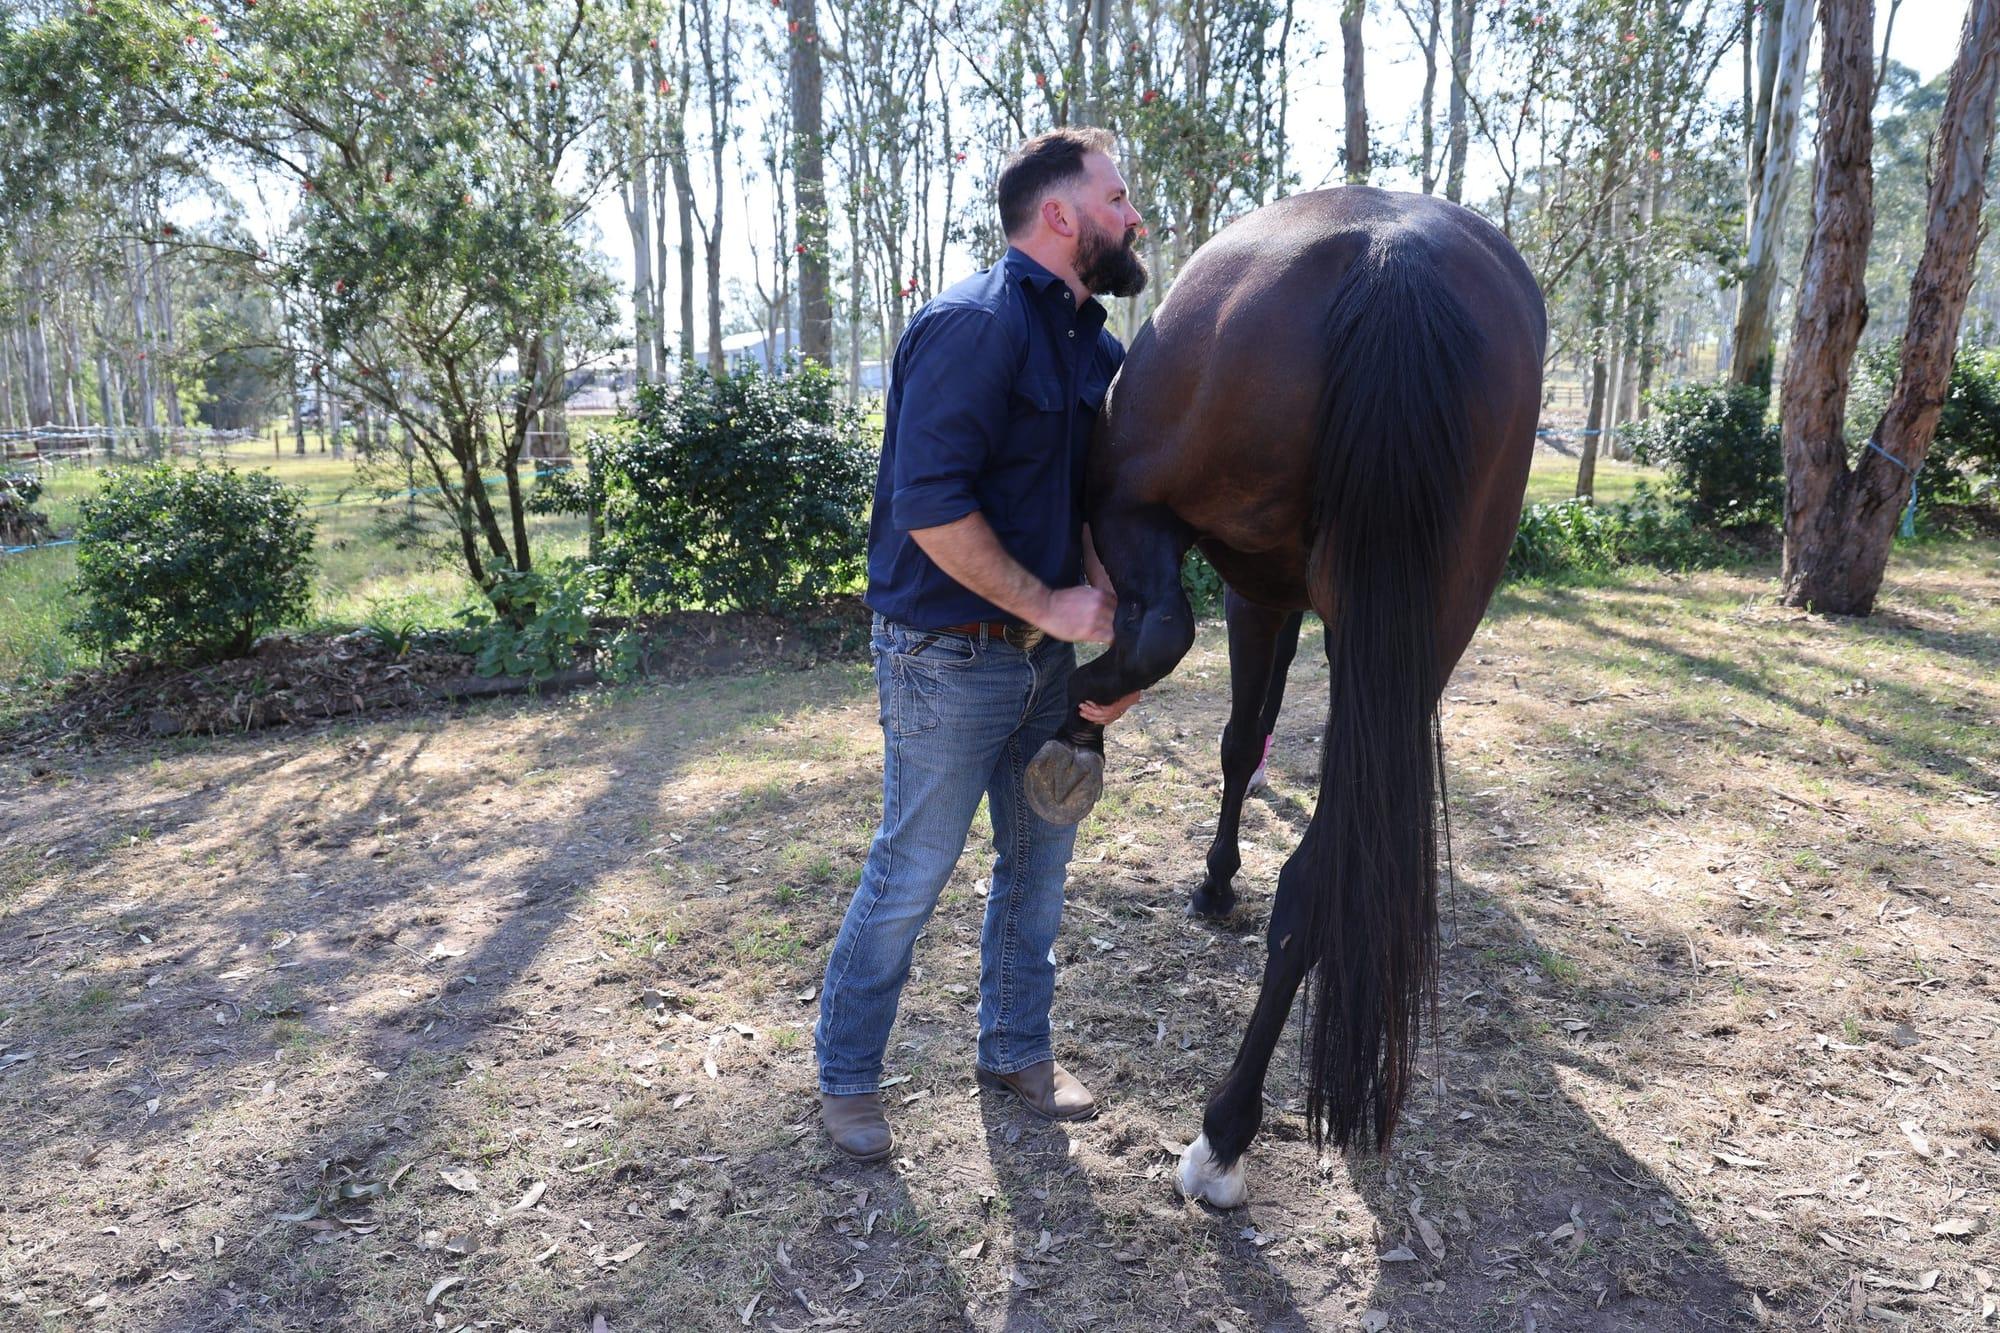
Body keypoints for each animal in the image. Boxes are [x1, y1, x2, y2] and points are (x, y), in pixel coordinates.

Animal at [1022, 186, 1545, 1206]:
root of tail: (1392, 254)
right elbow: (1254, 743)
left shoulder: (1256, 594)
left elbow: (1237, 736)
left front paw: (1216, 877)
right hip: (1430, 621)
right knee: (1319, 878)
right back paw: (1234, 1123)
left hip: (1142, 507)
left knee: (1157, 636)